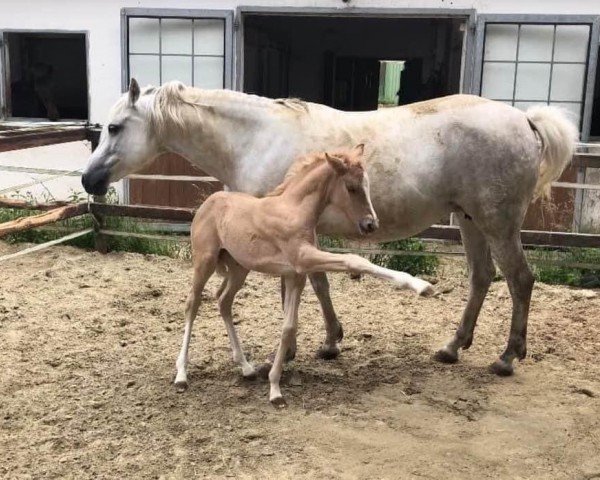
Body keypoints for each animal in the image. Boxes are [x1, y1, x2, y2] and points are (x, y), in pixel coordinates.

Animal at [83, 80, 576, 376]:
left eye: (115, 127)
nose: (89, 180)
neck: (254, 138)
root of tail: (524, 119)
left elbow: (299, 288)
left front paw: (292, 352)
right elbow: (318, 283)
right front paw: (329, 342)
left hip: (497, 223)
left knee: (520, 280)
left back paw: (507, 357)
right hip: (471, 221)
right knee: (482, 279)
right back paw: (452, 347)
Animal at [173, 145, 432, 404]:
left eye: (367, 184)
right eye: (351, 187)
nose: (371, 224)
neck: (295, 211)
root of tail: (208, 202)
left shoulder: (296, 274)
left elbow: (289, 326)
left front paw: (275, 388)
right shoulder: (304, 257)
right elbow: (354, 260)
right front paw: (420, 285)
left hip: (239, 268)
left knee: (224, 301)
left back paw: (246, 367)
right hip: (205, 261)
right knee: (192, 304)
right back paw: (181, 375)